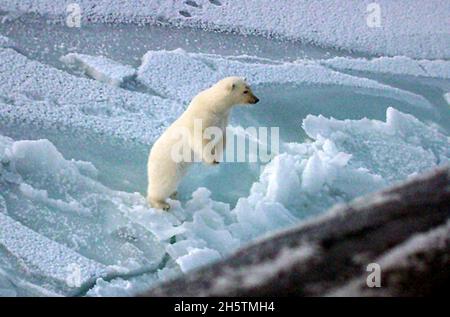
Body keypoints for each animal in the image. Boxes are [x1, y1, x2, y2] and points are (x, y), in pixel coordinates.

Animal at [148, 76, 260, 210]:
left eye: (250, 88)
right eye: (245, 91)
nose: (256, 99)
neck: (215, 106)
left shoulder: (222, 119)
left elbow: (221, 139)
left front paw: (217, 157)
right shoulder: (201, 118)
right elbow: (200, 139)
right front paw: (212, 161)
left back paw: (174, 192)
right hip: (167, 165)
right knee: (163, 183)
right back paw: (162, 204)